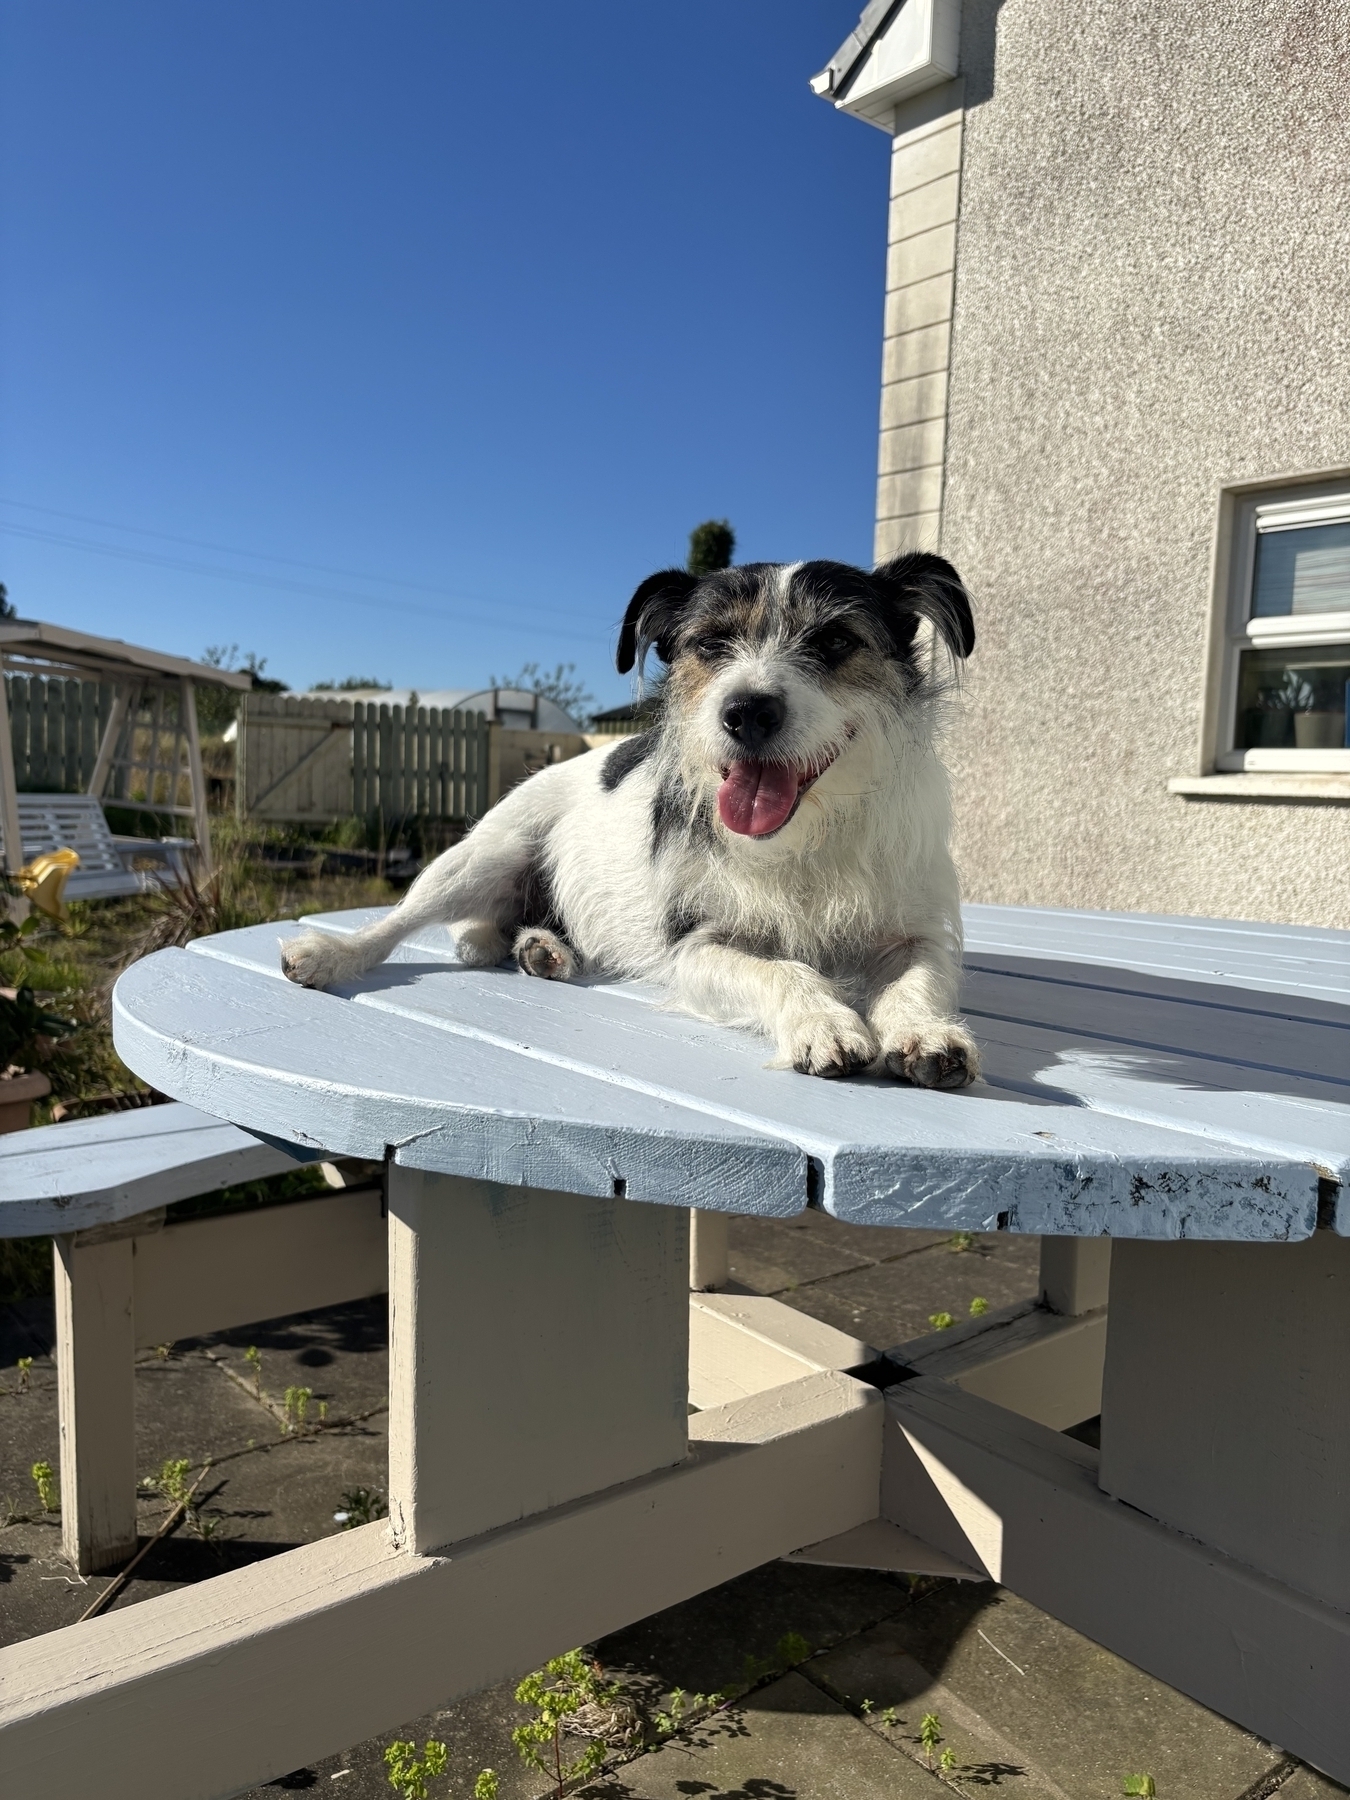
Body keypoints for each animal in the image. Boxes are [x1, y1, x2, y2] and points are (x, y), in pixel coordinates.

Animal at [282, 547, 986, 1087]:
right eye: (711, 643)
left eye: (836, 640)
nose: (746, 711)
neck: (805, 835)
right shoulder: (697, 946)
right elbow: (779, 967)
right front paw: (823, 1021)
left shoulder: (917, 933)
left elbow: (920, 977)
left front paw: (925, 1032)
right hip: (483, 858)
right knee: (399, 921)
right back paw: (330, 954)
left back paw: (543, 949)